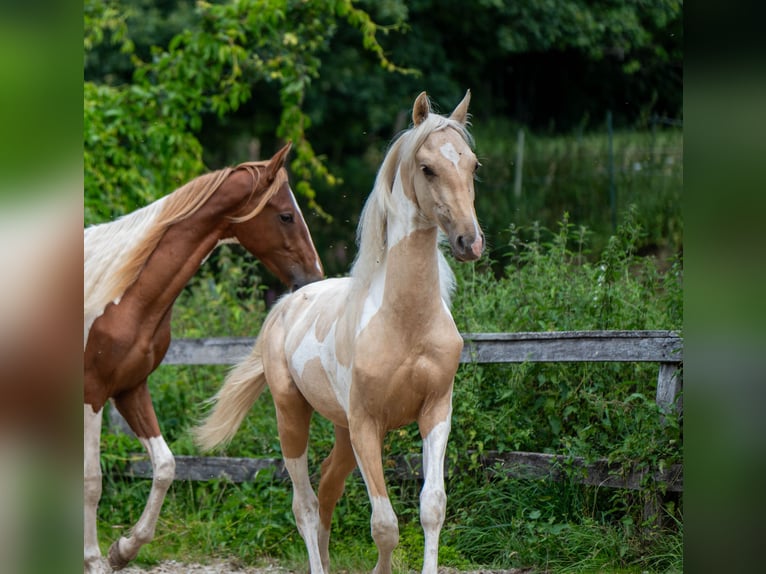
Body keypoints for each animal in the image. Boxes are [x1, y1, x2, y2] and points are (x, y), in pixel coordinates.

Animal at [83, 142, 324, 574]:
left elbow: (165, 466)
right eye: (285, 215)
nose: (314, 277)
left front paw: (123, 549)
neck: (118, 295)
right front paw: (94, 559)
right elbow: (92, 481)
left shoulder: (129, 389)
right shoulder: (92, 393)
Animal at [194, 91, 483, 574]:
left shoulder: (436, 411)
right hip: (294, 416)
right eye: (427, 168)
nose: (469, 242)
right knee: (306, 504)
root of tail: (286, 306)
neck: (406, 323)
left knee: (328, 486)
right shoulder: (367, 424)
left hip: (343, 432)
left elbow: (432, 506)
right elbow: (384, 524)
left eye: (472, 165)